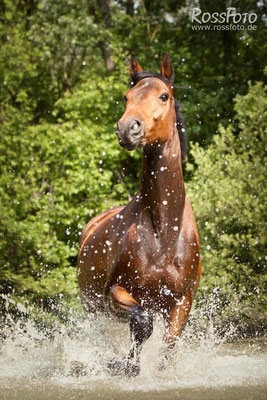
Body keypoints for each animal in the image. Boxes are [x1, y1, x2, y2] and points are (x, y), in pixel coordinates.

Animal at [78, 54, 202, 376]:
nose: (127, 128)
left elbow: (168, 345)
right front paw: (124, 366)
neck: (164, 231)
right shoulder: (115, 294)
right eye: (127, 96)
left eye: (164, 96)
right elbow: (141, 325)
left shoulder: (181, 301)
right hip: (92, 308)